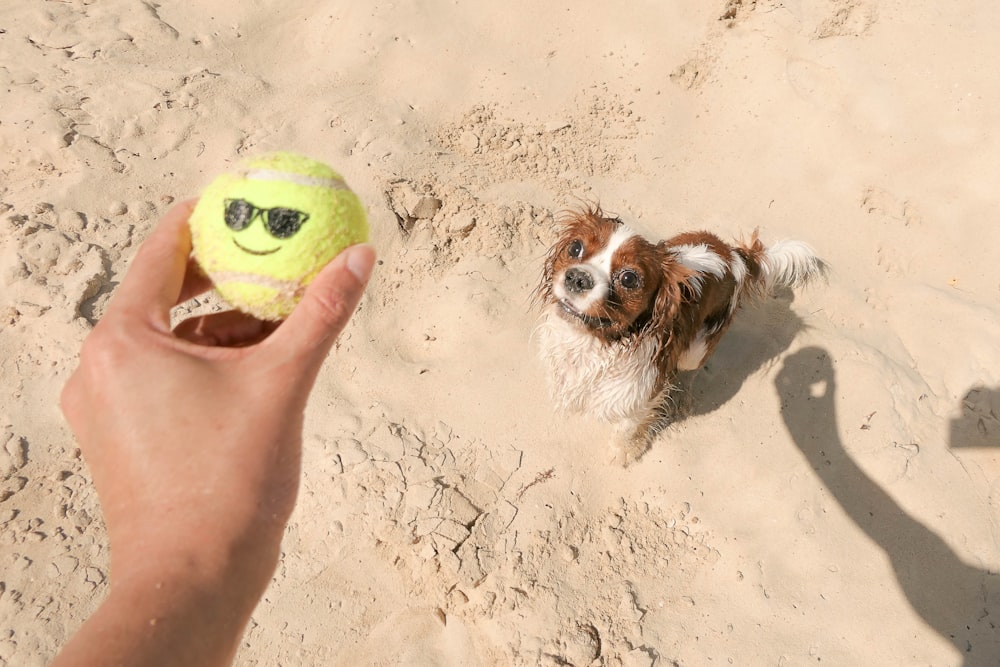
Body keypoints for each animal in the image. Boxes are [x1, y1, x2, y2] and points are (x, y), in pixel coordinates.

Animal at [536, 206, 824, 468]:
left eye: (629, 278)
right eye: (575, 248)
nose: (577, 277)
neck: (594, 342)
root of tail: (734, 255)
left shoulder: (645, 389)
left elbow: (627, 426)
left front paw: (624, 452)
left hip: (695, 350)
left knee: (690, 370)